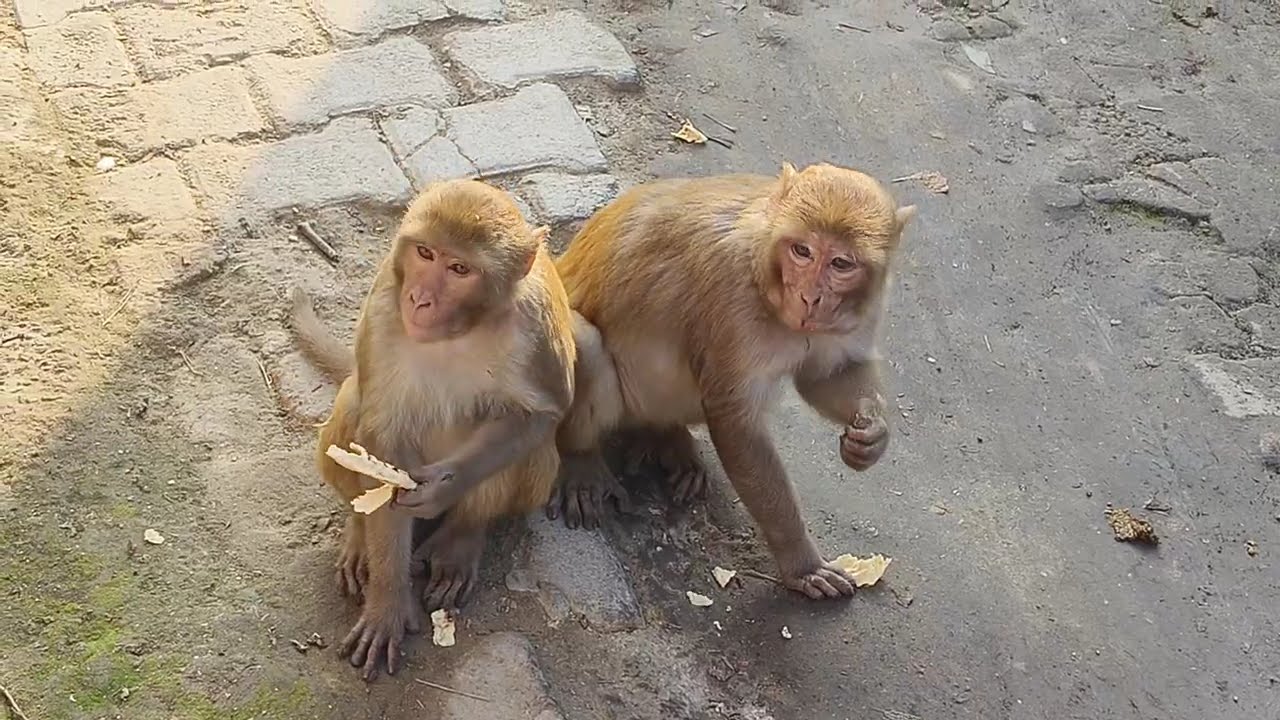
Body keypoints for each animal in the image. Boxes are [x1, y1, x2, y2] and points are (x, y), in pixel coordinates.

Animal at [289, 179, 576, 680]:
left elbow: (542, 412)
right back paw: (360, 535)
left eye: (460, 268)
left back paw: (461, 539)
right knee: (353, 405)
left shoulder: (538, 324)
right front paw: (386, 603)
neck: (460, 329)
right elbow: (382, 432)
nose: (420, 299)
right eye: (425, 253)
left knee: (534, 446)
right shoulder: (385, 303)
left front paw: (445, 487)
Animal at [546, 162, 915, 601]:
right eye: (802, 251)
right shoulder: (731, 297)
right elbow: (736, 422)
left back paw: (666, 436)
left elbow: (828, 372)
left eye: (841, 264)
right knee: (587, 344)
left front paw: (872, 436)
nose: (810, 297)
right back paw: (583, 462)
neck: (763, 268)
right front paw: (801, 564)